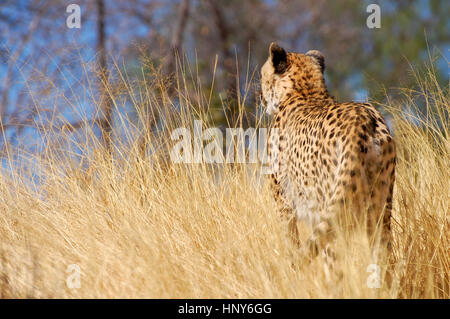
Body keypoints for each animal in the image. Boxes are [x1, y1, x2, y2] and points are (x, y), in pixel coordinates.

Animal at [262, 42, 396, 258]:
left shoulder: (283, 201)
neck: (305, 91)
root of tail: (364, 119)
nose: (260, 97)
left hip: (331, 203)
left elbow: (290, 238)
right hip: (381, 206)